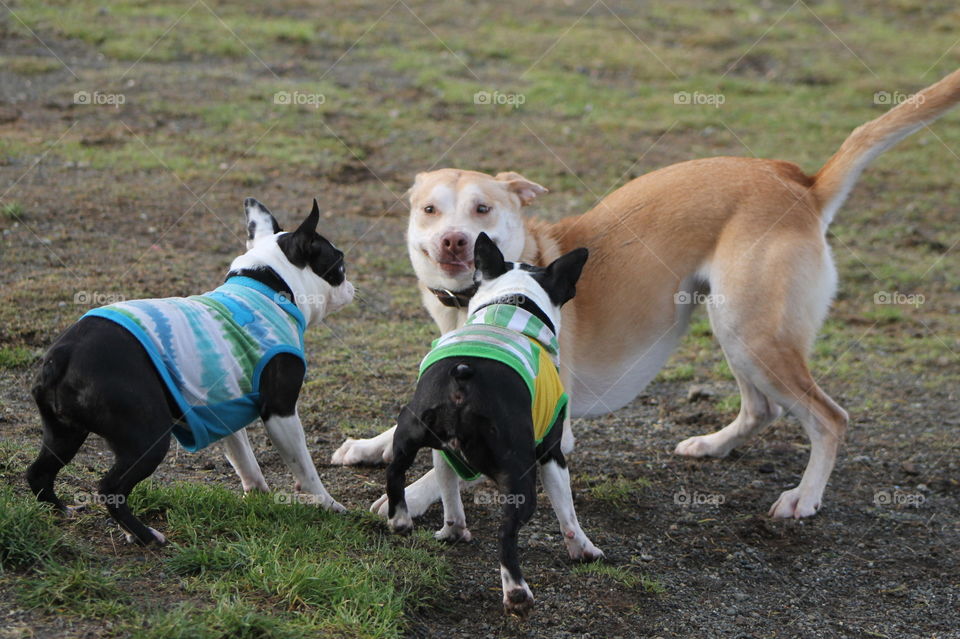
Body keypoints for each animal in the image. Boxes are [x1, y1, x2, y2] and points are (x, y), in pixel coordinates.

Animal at [28, 199, 354, 544]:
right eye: (339, 263)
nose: (351, 286)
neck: (270, 286)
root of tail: (63, 355)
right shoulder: (280, 411)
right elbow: (303, 466)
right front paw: (329, 504)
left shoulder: (224, 405)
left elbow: (244, 459)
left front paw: (257, 494)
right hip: (147, 437)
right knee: (109, 488)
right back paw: (145, 536)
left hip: (65, 432)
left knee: (39, 473)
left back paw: (64, 511)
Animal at [336, 70, 960, 520]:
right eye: (430, 209)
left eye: (483, 209)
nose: (454, 240)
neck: (487, 296)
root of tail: (800, 184)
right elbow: (409, 422)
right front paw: (371, 444)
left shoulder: (547, 426)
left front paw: (409, 497)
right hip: (733, 326)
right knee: (763, 408)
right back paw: (713, 446)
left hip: (751, 330)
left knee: (829, 418)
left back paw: (803, 499)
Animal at [384, 232, 600, 616]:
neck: (509, 307)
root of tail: (463, 376)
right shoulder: (551, 453)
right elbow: (567, 511)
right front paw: (582, 549)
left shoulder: (442, 451)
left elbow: (448, 491)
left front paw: (453, 531)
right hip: (520, 475)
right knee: (506, 535)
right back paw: (516, 592)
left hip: (408, 429)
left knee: (395, 471)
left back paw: (400, 520)